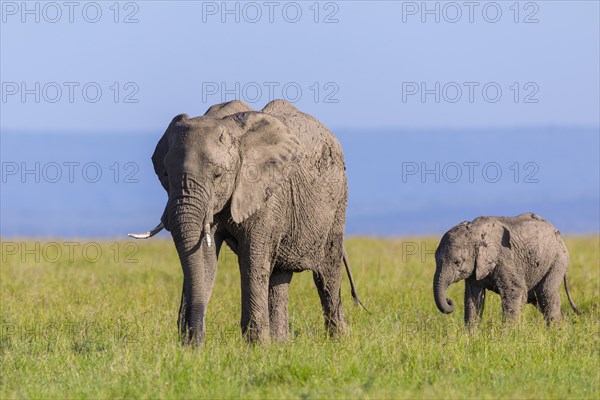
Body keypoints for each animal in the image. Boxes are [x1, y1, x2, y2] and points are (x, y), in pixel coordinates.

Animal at [131, 99, 364, 344]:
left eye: (217, 175)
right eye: (166, 175)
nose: (193, 338)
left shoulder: (265, 192)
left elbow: (253, 258)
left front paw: (257, 346)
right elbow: (205, 258)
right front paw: (192, 347)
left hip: (338, 200)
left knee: (327, 273)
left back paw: (338, 340)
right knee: (279, 276)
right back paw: (282, 344)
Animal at [434, 212, 580, 324]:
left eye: (457, 262)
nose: (449, 300)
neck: (475, 231)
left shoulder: (504, 259)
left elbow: (515, 291)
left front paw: (508, 338)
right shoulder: (475, 268)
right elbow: (473, 297)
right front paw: (471, 338)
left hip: (557, 260)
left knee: (546, 293)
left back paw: (555, 330)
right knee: (539, 300)